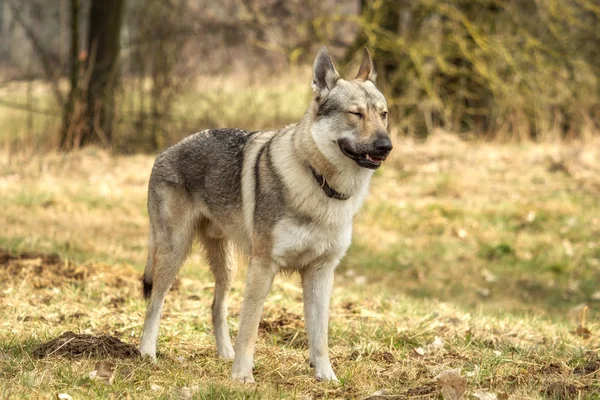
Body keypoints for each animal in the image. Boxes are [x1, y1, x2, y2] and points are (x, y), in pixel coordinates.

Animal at [141, 45, 394, 382]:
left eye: (383, 114)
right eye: (356, 113)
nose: (386, 146)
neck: (320, 185)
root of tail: (166, 150)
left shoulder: (321, 272)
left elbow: (320, 335)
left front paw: (326, 377)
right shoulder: (263, 266)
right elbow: (249, 329)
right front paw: (241, 377)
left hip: (228, 266)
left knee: (216, 307)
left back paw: (224, 354)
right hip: (174, 253)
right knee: (155, 302)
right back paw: (147, 353)